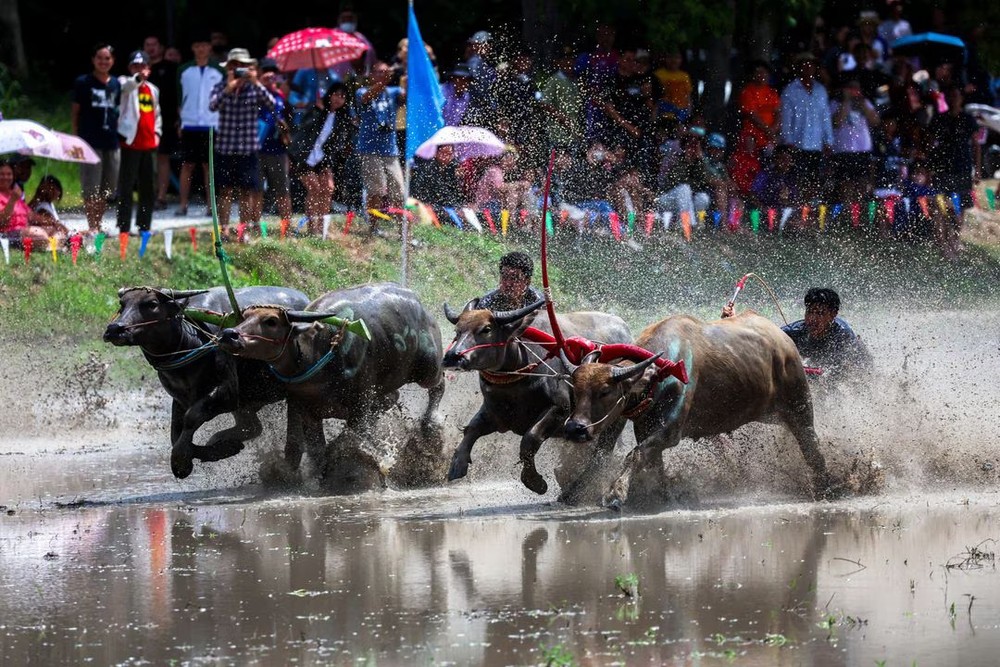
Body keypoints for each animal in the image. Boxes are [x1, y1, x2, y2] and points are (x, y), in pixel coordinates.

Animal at [103, 288, 308, 480]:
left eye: (152, 303)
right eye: (122, 304)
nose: (114, 329)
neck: (189, 344)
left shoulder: (226, 393)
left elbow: (191, 418)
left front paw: (181, 460)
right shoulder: (180, 399)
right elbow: (175, 432)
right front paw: (222, 449)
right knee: (252, 427)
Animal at [218, 280, 446, 494]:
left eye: (271, 321)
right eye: (244, 317)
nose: (230, 334)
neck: (317, 353)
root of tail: (419, 303)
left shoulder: (359, 404)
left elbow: (353, 442)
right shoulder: (305, 409)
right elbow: (312, 449)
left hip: (428, 368)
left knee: (439, 384)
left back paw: (430, 426)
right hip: (386, 386)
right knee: (393, 398)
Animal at [442, 300, 628, 504]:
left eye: (486, 329)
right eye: (457, 330)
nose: (452, 356)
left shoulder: (560, 409)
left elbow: (530, 439)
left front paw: (535, 482)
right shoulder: (495, 415)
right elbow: (471, 429)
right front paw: (457, 464)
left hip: (615, 421)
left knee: (603, 453)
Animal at [564, 310, 836, 508]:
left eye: (605, 391)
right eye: (575, 390)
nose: (575, 428)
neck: (660, 374)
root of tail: (784, 341)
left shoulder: (671, 431)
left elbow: (635, 454)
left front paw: (615, 493)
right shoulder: (644, 427)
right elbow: (646, 460)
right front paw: (660, 495)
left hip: (799, 405)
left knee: (811, 444)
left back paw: (827, 487)